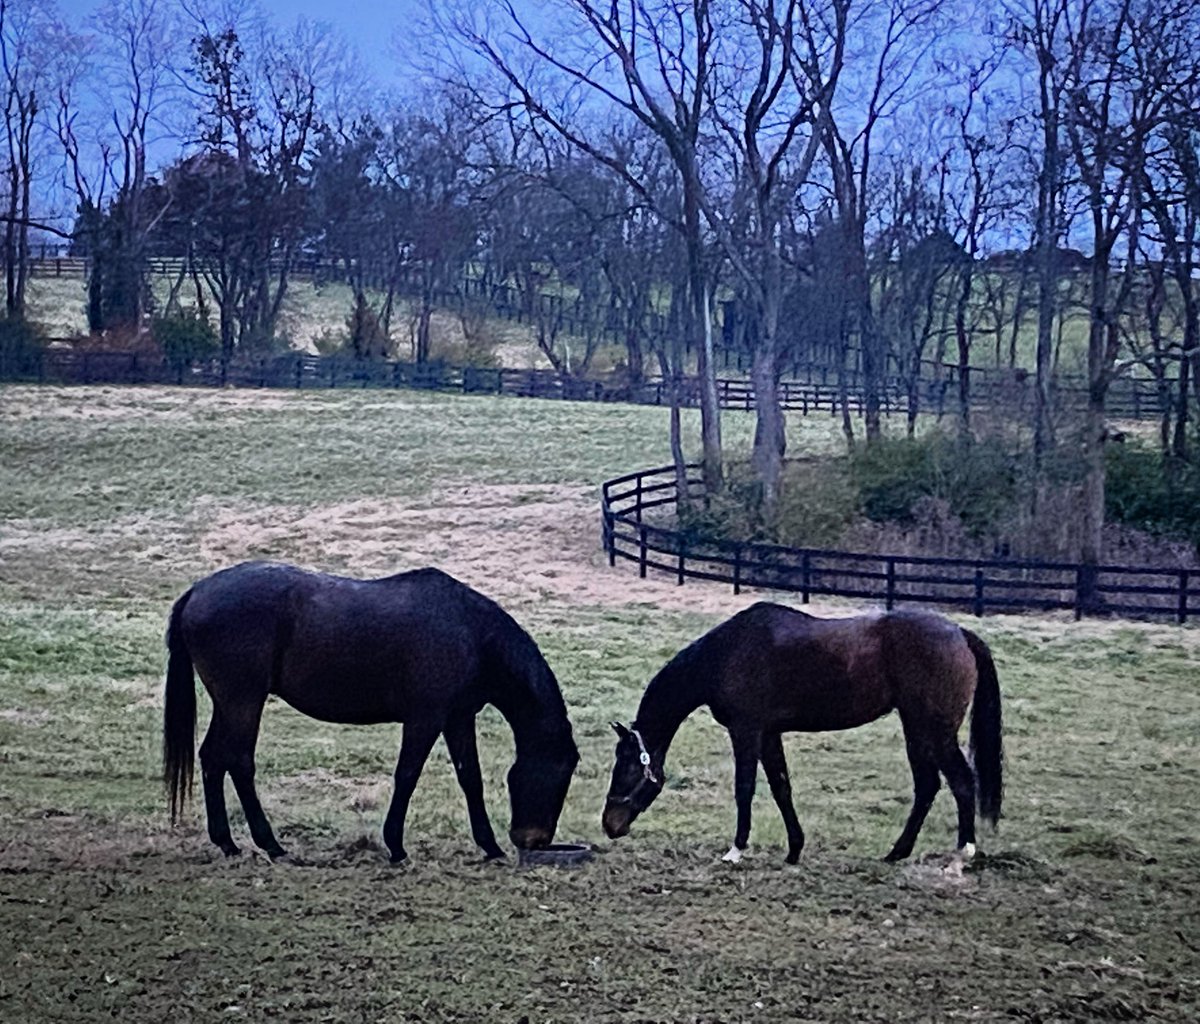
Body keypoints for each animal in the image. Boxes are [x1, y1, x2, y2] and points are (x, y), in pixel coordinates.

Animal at [163, 561, 579, 863]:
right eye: (561, 774)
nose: (535, 841)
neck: (470, 634)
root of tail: (197, 591)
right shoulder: (425, 719)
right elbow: (407, 776)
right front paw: (395, 846)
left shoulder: (458, 718)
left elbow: (470, 779)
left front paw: (489, 847)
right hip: (244, 701)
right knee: (239, 762)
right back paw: (270, 844)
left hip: (231, 702)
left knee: (213, 759)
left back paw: (228, 843)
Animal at [602, 602, 1003, 864]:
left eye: (627, 766)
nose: (609, 825)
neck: (725, 654)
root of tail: (959, 633)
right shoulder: (768, 734)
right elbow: (781, 787)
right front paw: (795, 849)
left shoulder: (746, 731)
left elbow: (744, 789)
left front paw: (736, 850)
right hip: (917, 728)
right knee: (929, 786)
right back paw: (897, 852)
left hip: (933, 729)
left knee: (960, 781)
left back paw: (963, 850)